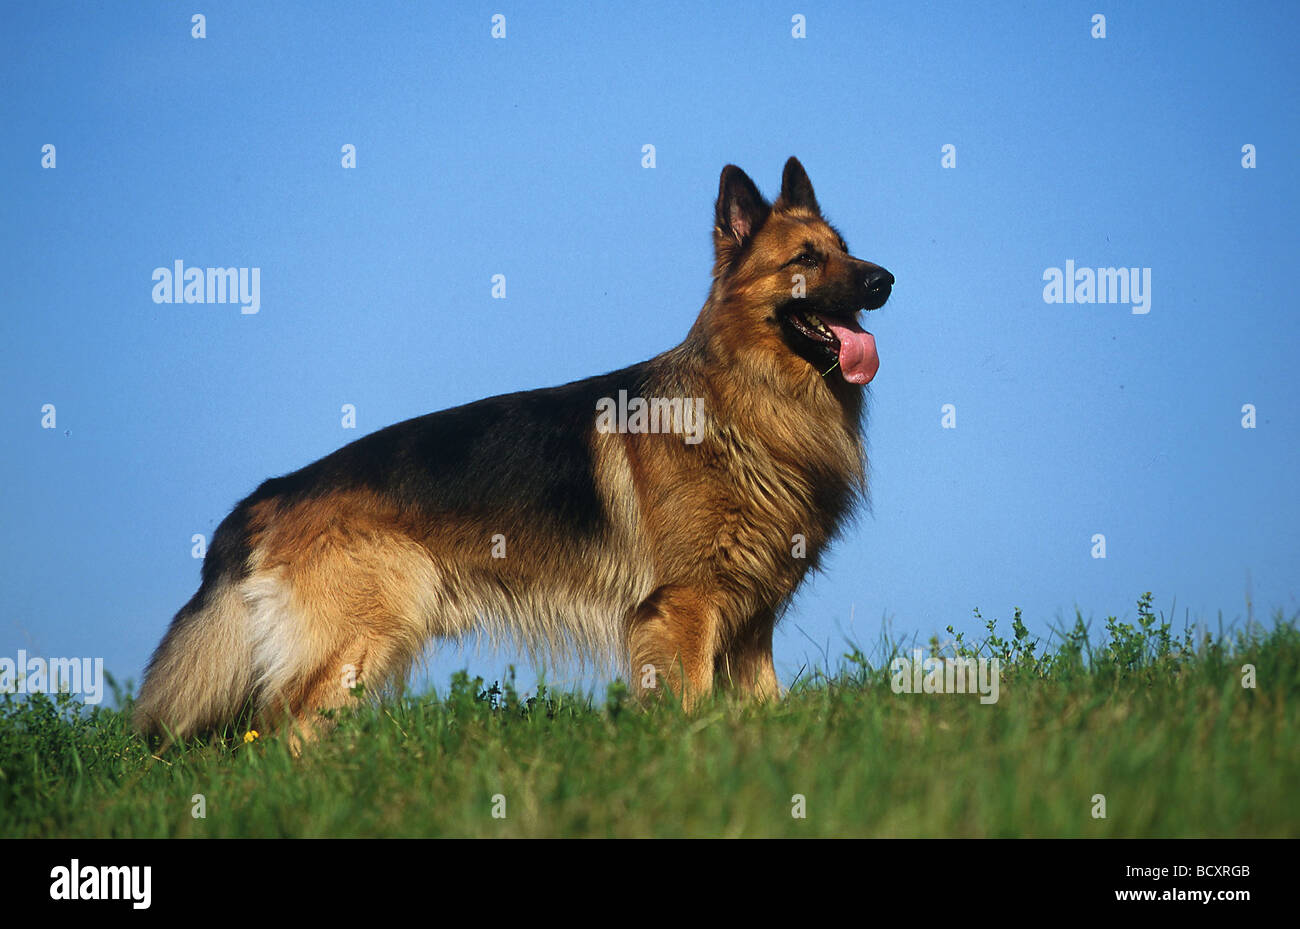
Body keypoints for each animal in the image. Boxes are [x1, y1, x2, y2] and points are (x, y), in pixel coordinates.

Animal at [134, 156, 894, 743]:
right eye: (805, 259)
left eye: (846, 247)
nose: (884, 280)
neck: (746, 397)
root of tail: (269, 493)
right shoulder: (683, 608)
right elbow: (686, 705)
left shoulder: (750, 622)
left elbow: (767, 704)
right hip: (362, 638)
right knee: (284, 733)